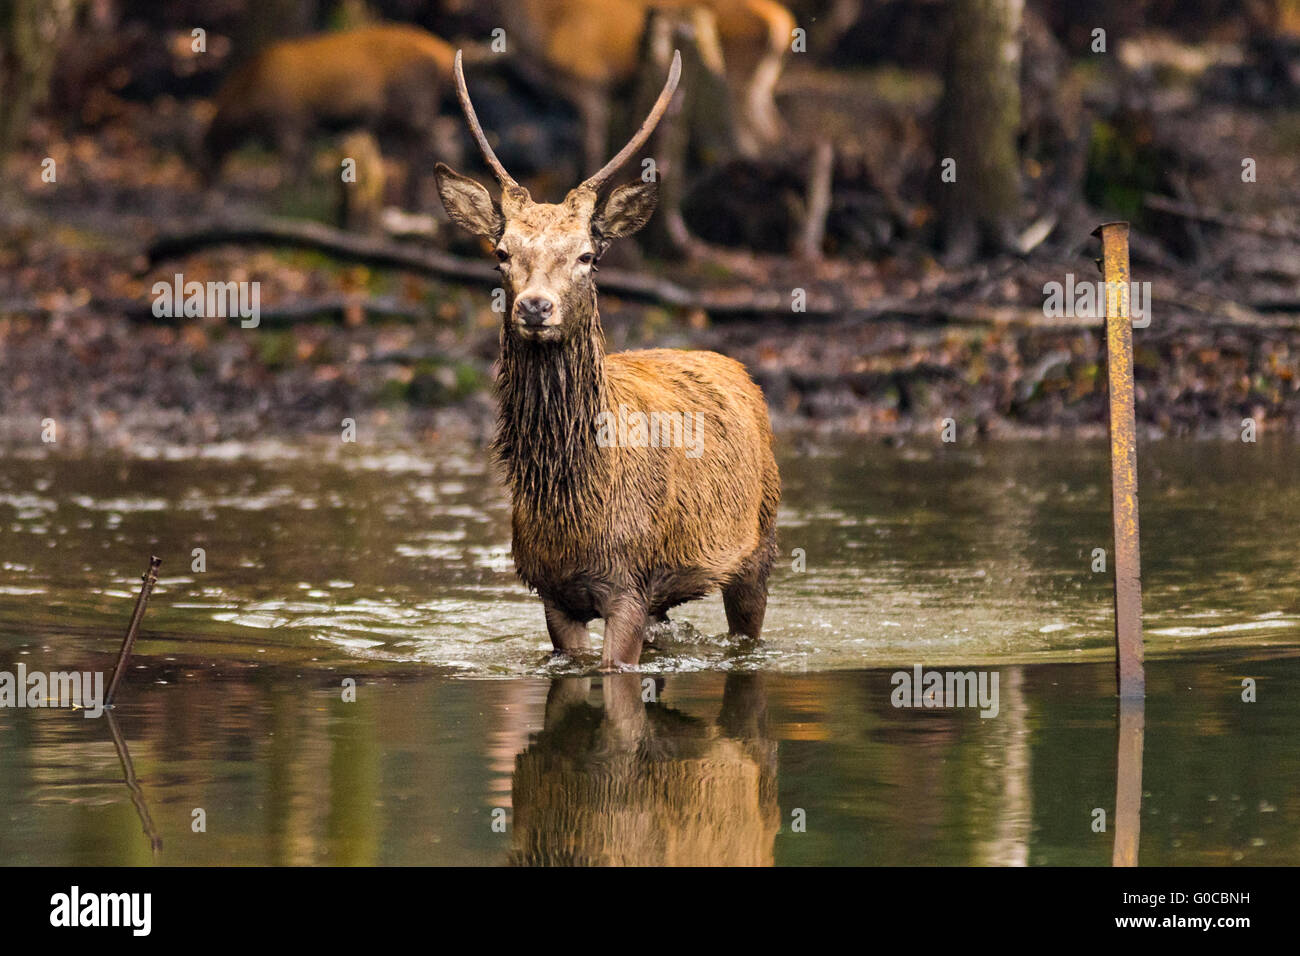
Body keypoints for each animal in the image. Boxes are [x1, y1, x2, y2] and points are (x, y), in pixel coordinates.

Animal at [436, 48, 780, 671]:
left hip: (760, 542)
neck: (574, 509)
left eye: (587, 255)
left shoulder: (628, 587)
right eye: (501, 252)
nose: (535, 306)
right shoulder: (552, 594)